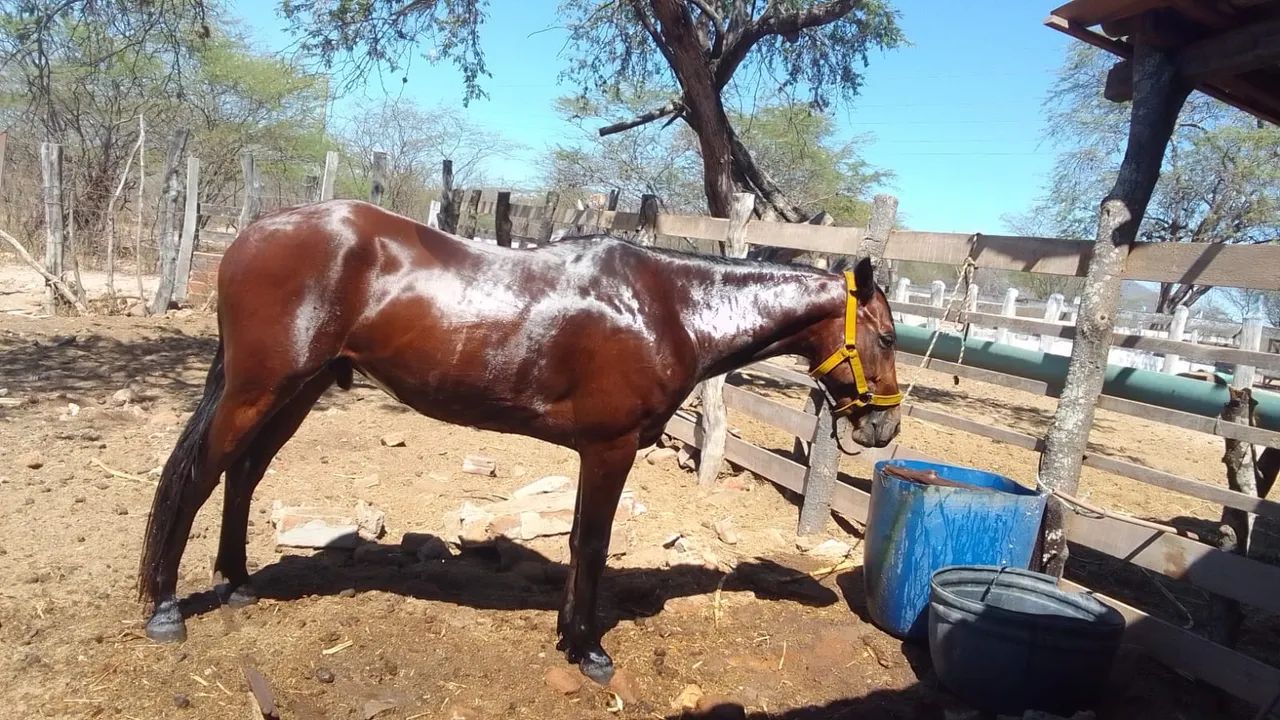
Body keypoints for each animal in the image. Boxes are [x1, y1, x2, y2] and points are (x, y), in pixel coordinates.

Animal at [137, 199, 903, 684]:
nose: (885, 427)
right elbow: (590, 543)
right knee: (200, 477)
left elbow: (580, 538)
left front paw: (569, 634)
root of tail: (253, 233)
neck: (671, 307)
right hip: (259, 389)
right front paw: (589, 651)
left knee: (244, 474)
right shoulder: (611, 447)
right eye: (890, 336)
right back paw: (167, 609)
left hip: (298, 389)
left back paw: (237, 583)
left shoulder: (596, 451)